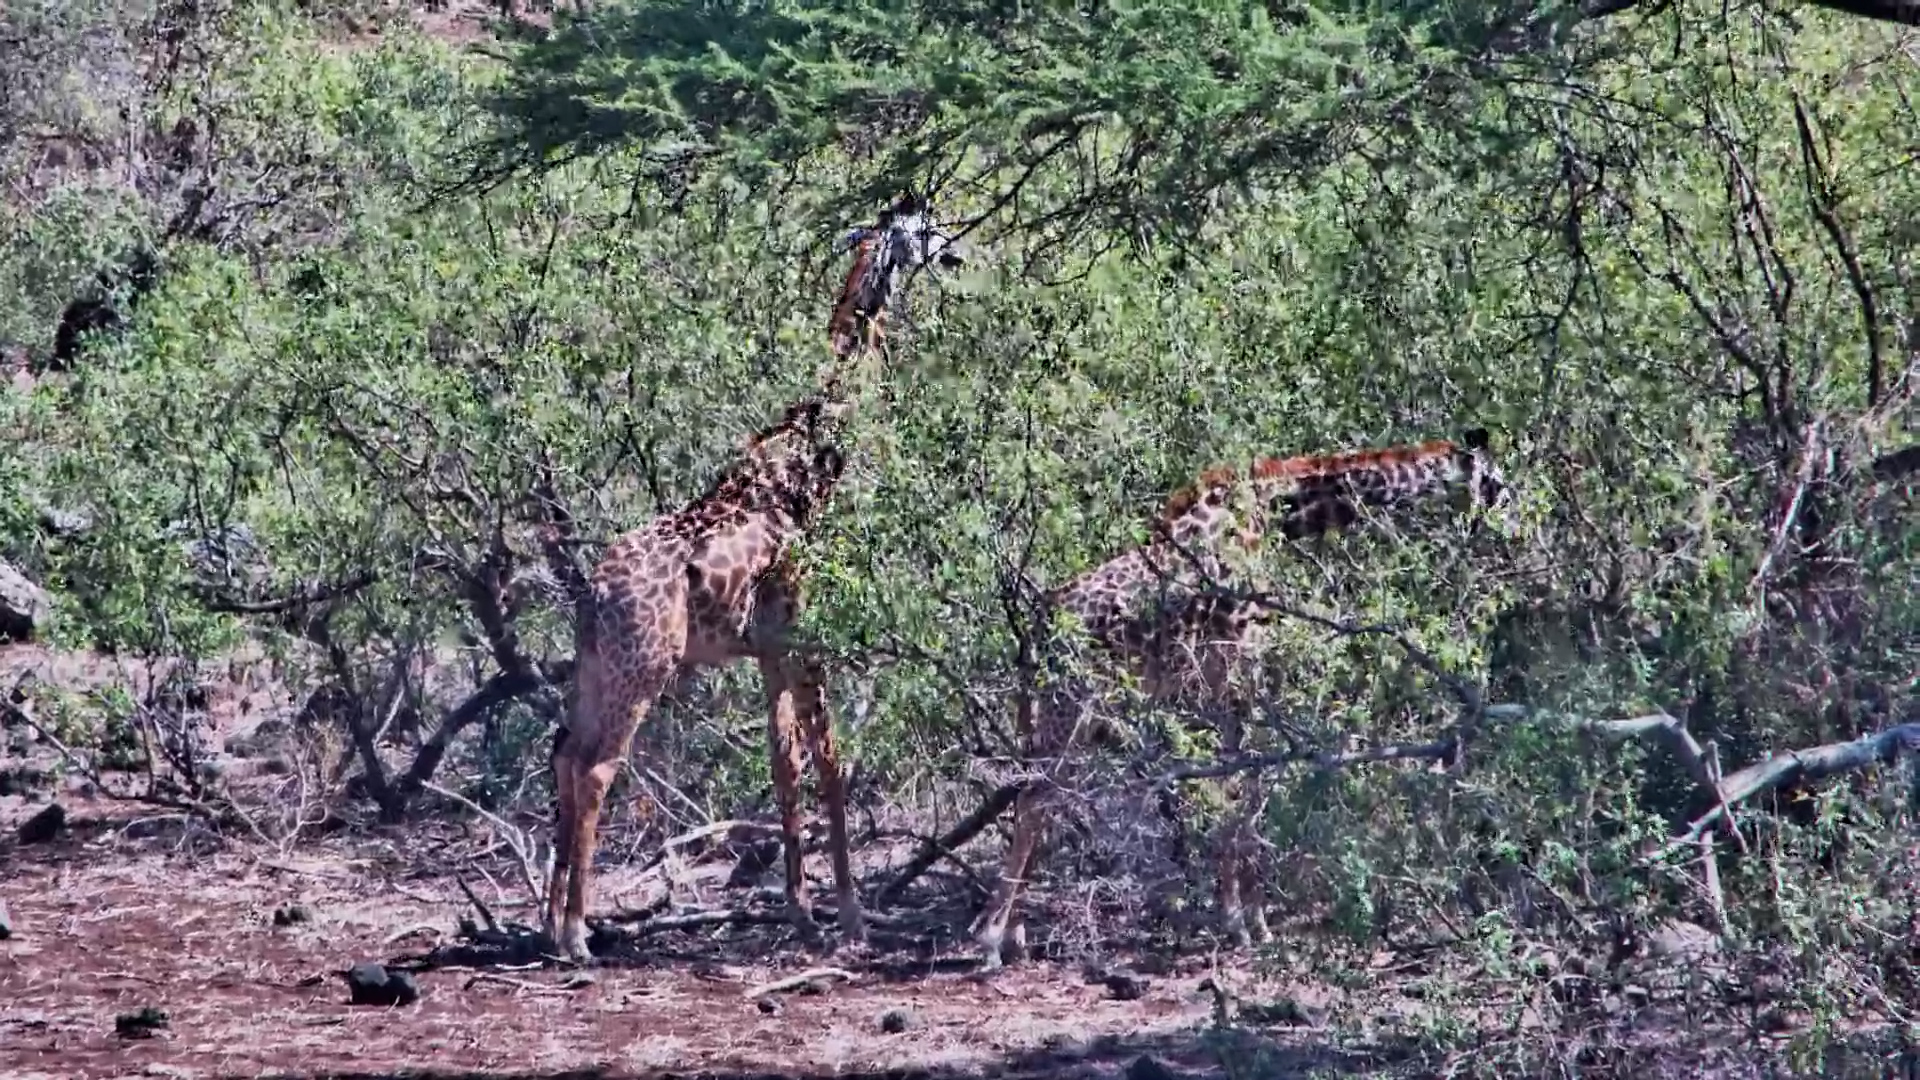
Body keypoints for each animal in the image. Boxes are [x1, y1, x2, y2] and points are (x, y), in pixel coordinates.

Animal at [544, 194, 965, 963]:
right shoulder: (806, 632)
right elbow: (829, 760)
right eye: (926, 228)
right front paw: (851, 917)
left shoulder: (767, 648)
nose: (959, 251)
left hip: (594, 667)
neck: (814, 466)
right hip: (643, 668)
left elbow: (783, 764)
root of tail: (595, 593)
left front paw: (802, 912)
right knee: (595, 769)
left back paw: (546, 921)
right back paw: (577, 934)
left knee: (564, 755)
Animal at [971, 429, 1514, 969]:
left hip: (1055, 714)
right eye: (1496, 482)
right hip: (1069, 707)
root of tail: (1036, 628)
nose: (1510, 522)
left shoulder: (1230, 686)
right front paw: (1246, 923)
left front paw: (1241, 916)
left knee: (1035, 799)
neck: (1280, 514)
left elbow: (1237, 784)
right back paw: (992, 938)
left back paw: (1015, 934)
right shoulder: (1240, 674)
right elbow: (1245, 788)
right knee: (1034, 800)